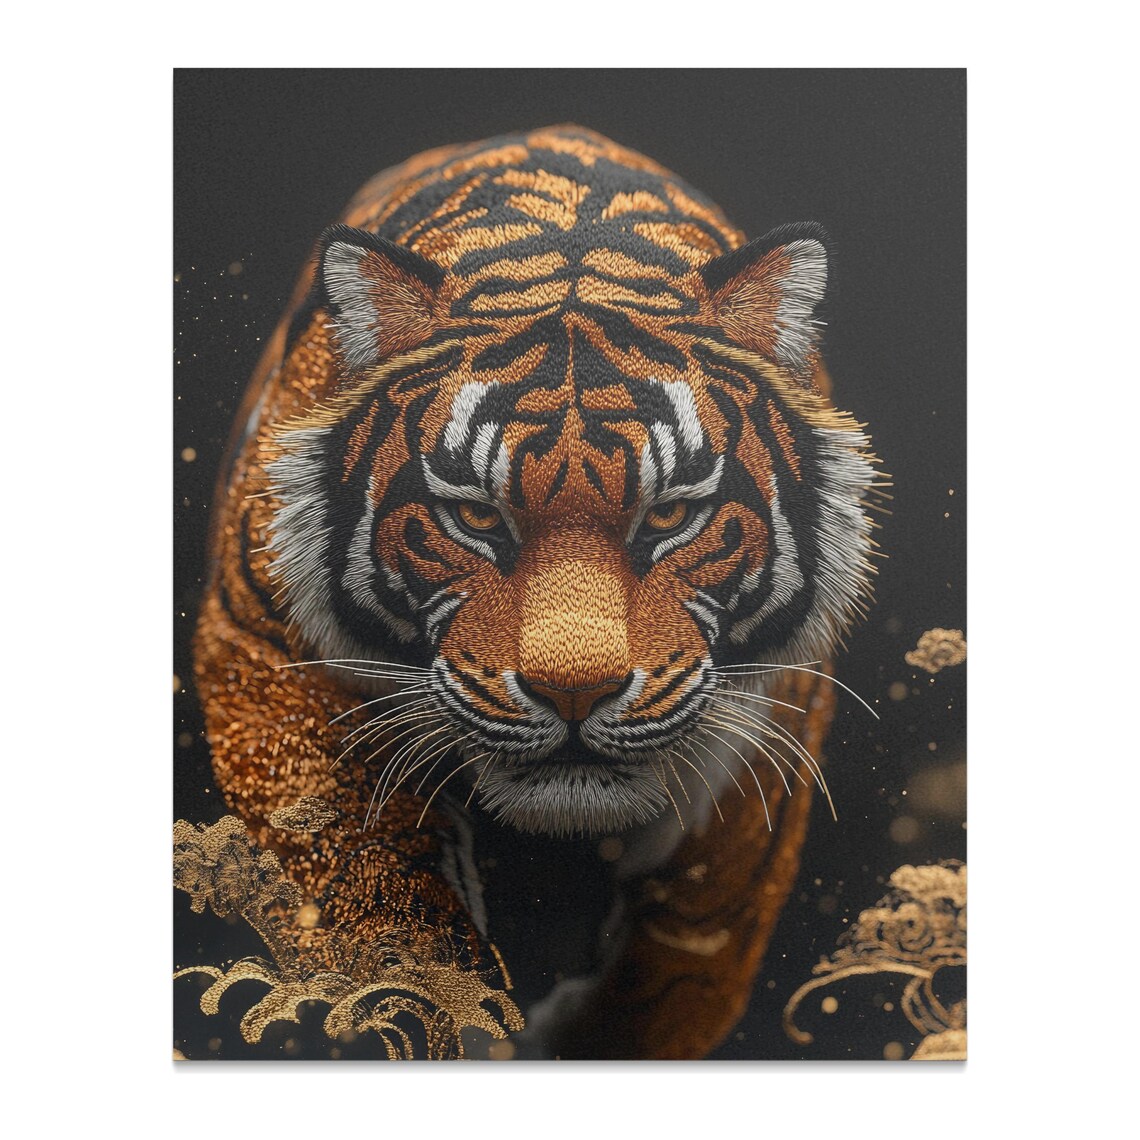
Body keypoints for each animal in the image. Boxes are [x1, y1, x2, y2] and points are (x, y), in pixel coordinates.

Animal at [191, 124, 879, 1060]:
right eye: (477, 516)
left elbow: (671, 975)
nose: (574, 691)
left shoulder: (766, 748)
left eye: (671, 513)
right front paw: (431, 997)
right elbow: (373, 897)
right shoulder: (257, 650)